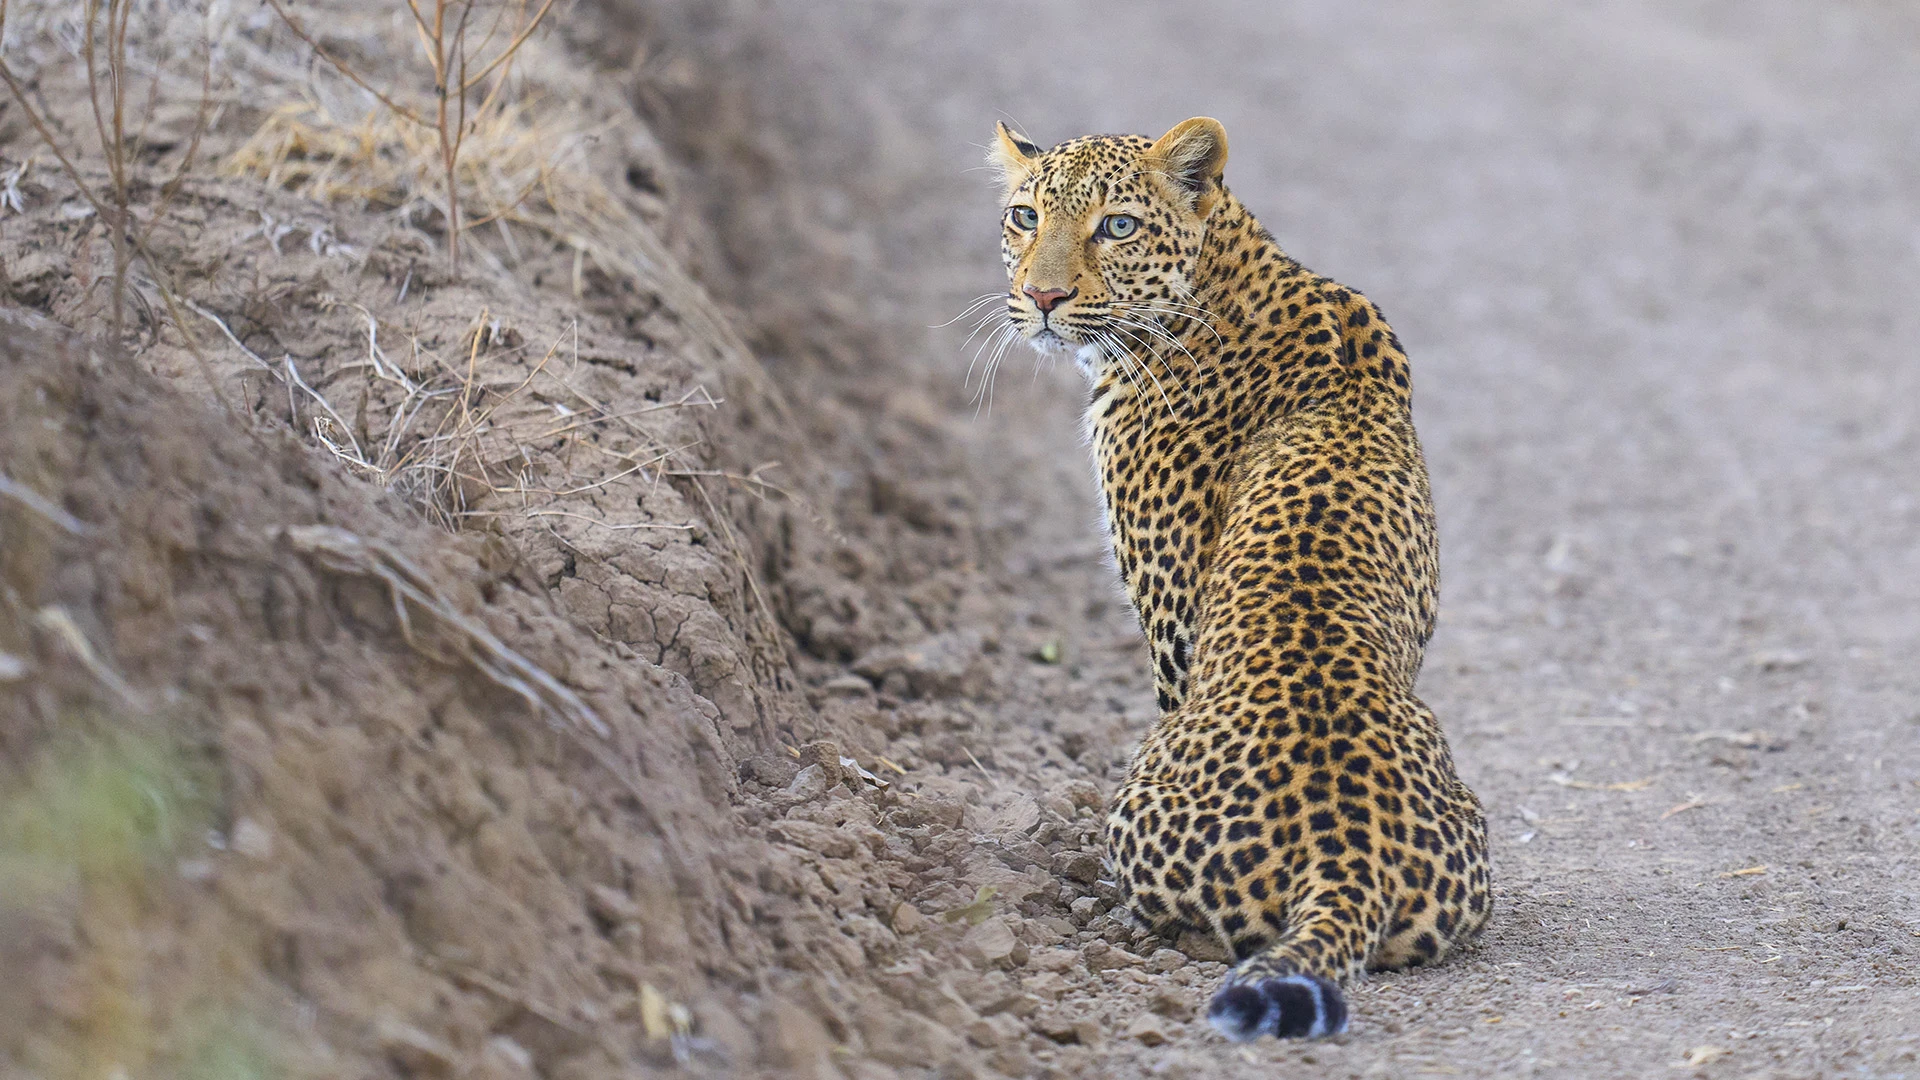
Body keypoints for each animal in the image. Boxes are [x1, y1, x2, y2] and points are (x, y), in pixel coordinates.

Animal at [986, 117, 1491, 1040]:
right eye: (1023, 216)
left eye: (1117, 226)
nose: (1040, 298)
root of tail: (1345, 853)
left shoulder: (1173, 614)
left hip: (1136, 797)